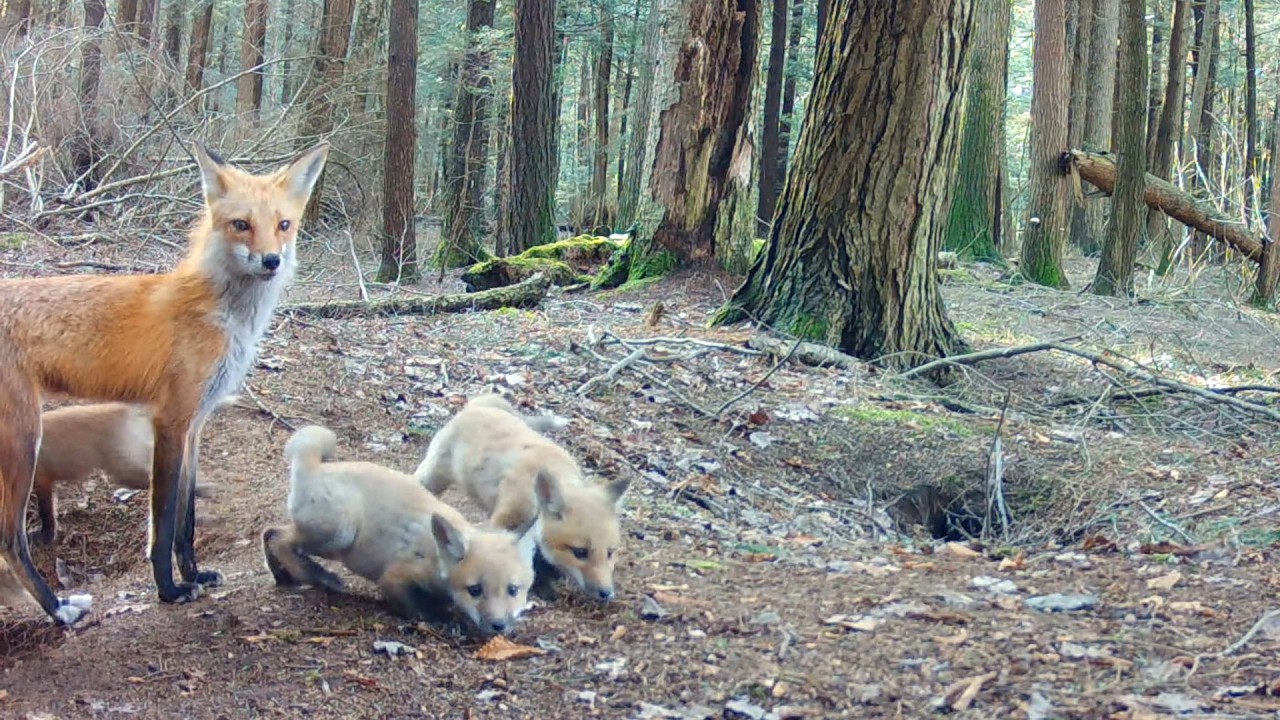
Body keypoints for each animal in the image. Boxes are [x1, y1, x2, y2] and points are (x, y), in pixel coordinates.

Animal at [32, 402, 226, 546]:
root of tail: (127, 409)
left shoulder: (42, 480)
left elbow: (46, 514)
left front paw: (45, 537)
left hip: (125, 471)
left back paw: (204, 493)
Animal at [261, 425, 538, 636]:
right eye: (475, 590)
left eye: (513, 590)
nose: (499, 626)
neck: (435, 556)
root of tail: (315, 467)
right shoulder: (394, 578)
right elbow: (417, 607)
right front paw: (441, 619)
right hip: (340, 534)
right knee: (280, 540)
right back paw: (317, 576)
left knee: (268, 532)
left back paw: (283, 577)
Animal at [413, 393, 630, 602]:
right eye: (580, 552)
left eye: (610, 552)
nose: (607, 593)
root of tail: (479, 404)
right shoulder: (506, 518)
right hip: (433, 476)